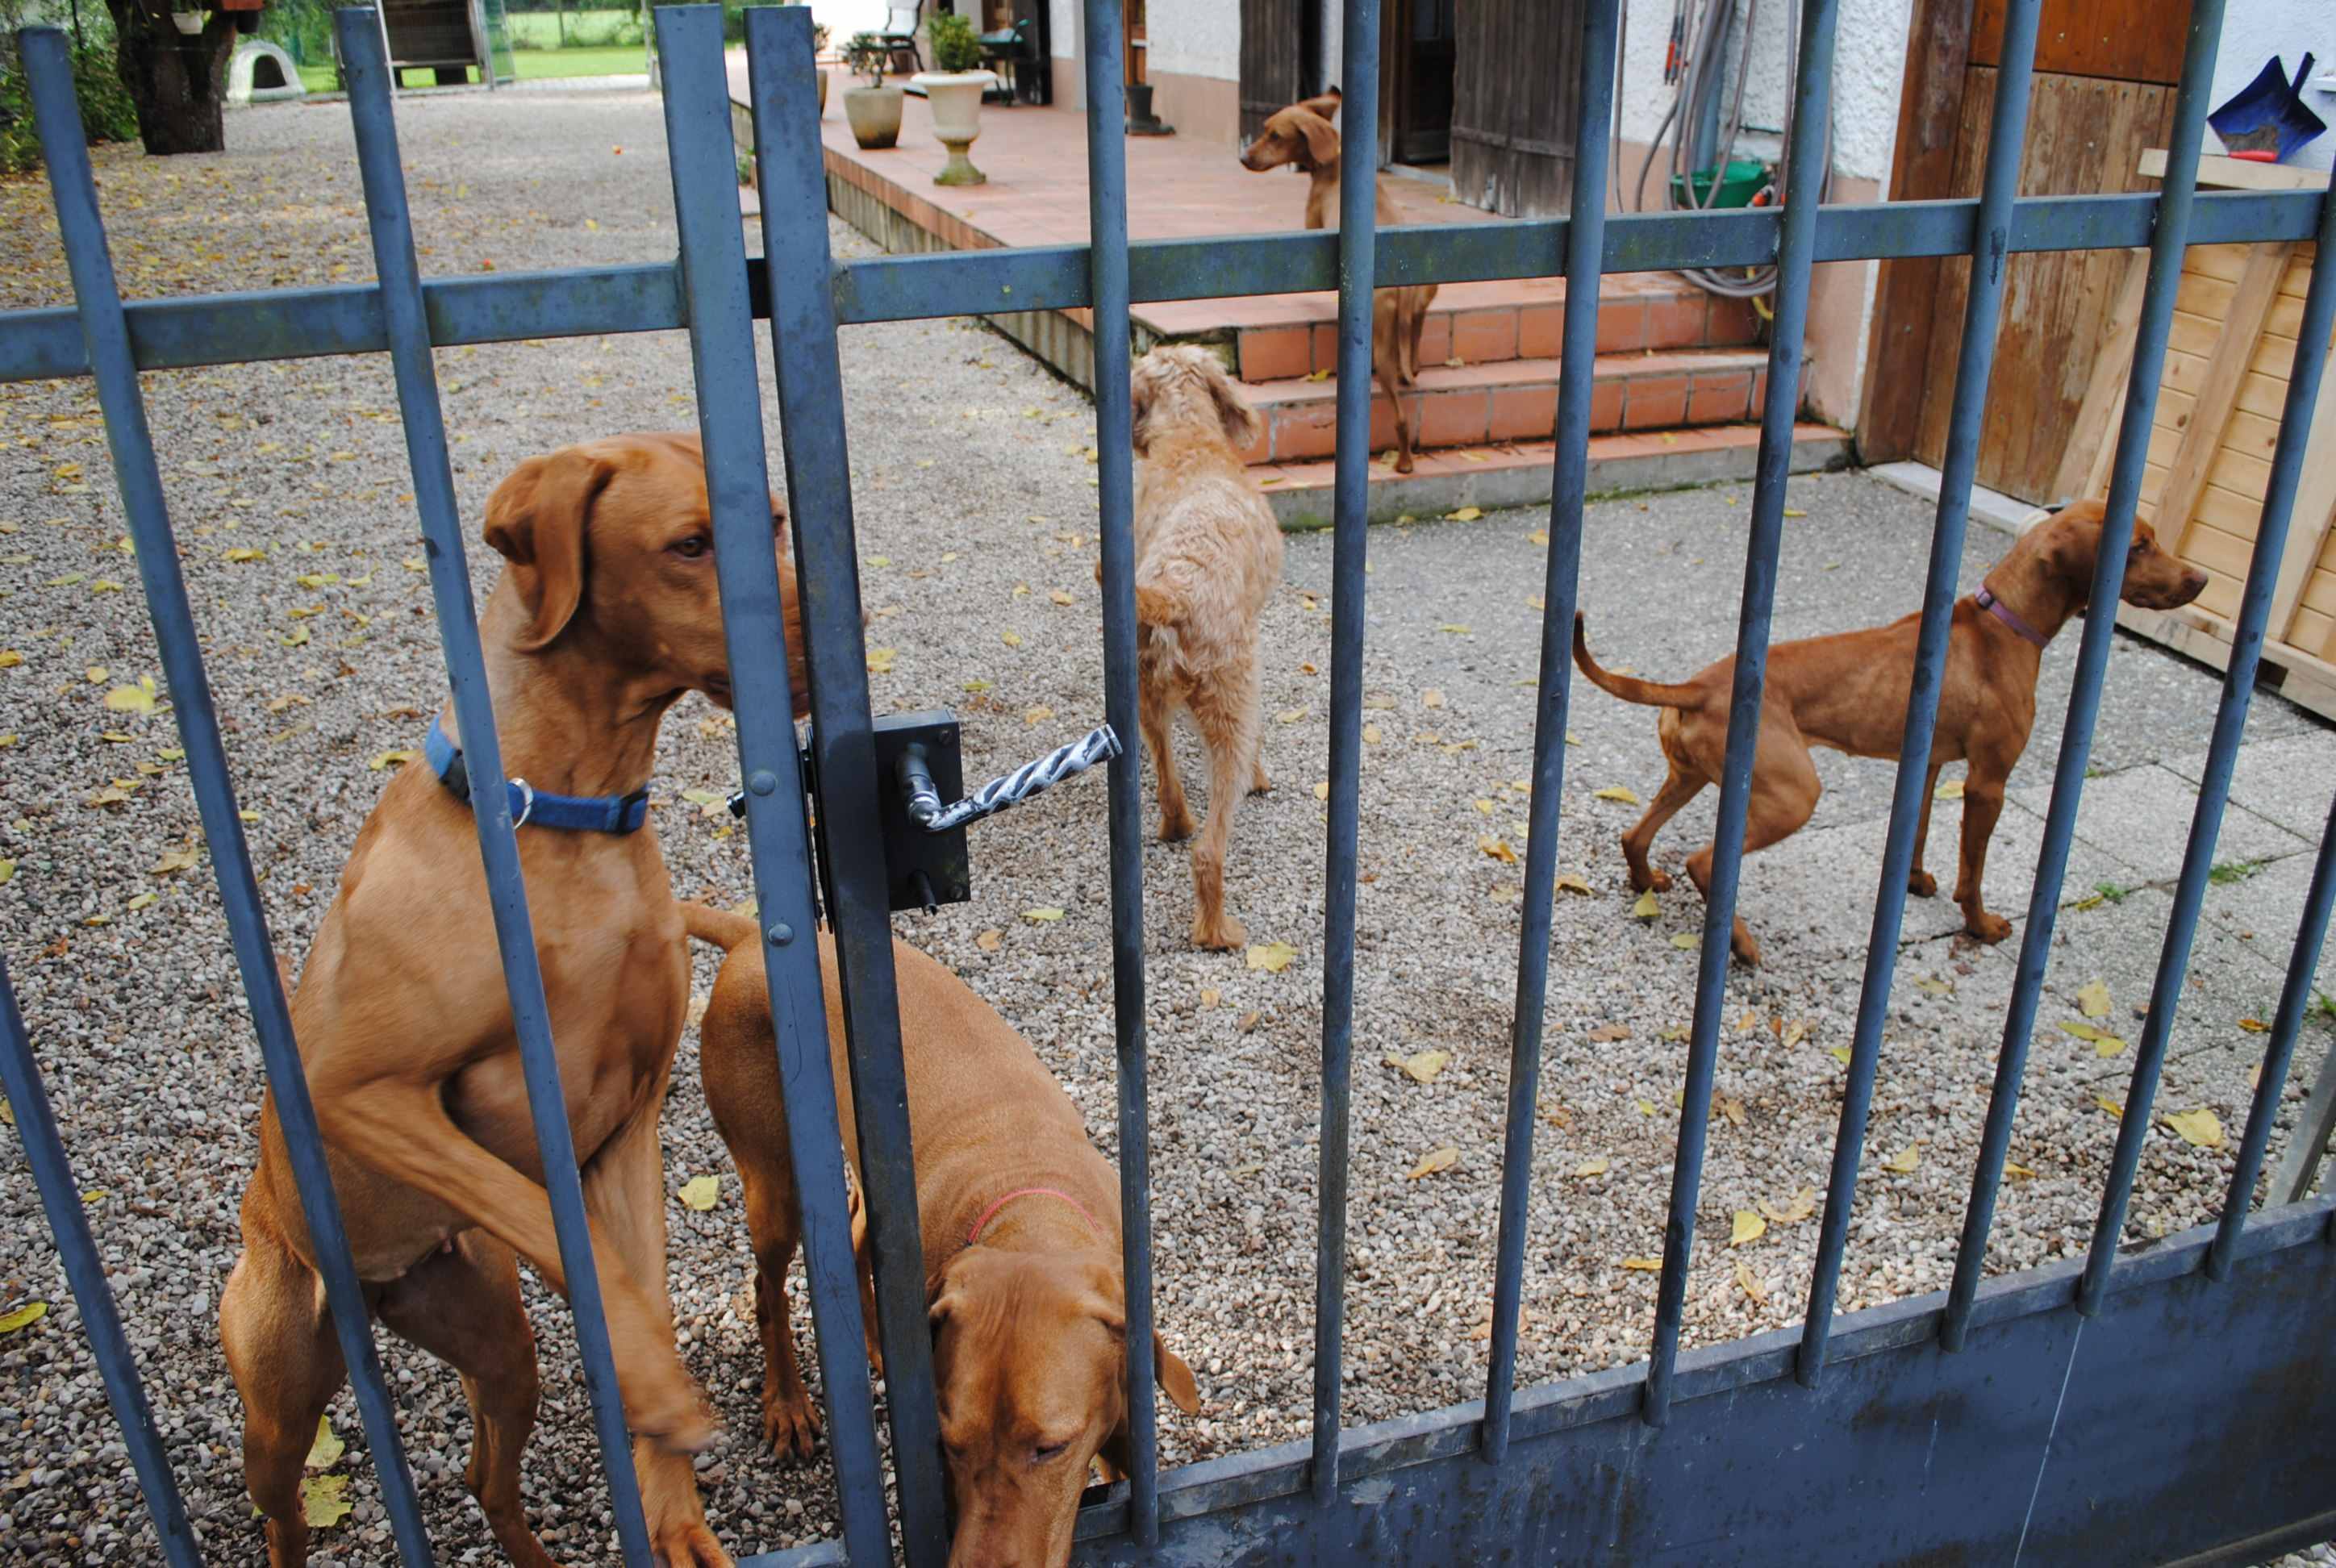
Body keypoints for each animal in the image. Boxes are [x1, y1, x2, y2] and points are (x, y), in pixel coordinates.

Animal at [219, 432, 803, 1568]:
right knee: (281, 1512)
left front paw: (675, 1510)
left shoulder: (625, 1132)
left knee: (486, 1474)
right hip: (279, 1398)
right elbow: (545, 1222)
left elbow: (636, 1283)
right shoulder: (354, 1090)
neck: (565, 823)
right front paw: (658, 1385)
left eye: (776, 521)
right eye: (690, 544)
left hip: (492, 1338)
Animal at [682, 907, 1205, 1568]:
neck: (1027, 1203)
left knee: (855, 1231)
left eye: (1050, 1448)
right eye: (951, 1444)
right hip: (773, 1183)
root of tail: (752, 936)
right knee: (767, 1288)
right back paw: (788, 1404)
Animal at [1242, 84, 1438, 472]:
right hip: (1424, 299)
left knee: (1400, 416)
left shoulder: (1312, 224)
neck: (1335, 161)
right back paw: (1414, 368)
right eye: (1266, 128)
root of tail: (1402, 290)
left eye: (1275, 135)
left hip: (1379, 350)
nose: (1244, 158)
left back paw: (1404, 462)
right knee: (1415, 345)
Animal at [1570, 502, 2205, 967]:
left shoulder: (1928, 764)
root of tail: (1696, 687)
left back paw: (1646, 881)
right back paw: (1740, 942)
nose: (2201, 578)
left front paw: (1917, 881)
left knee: (1634, 835)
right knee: (1704, 862)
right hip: (1792, 795)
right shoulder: (1987, 782)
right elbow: (1973, 872)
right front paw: (1980, 925)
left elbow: (1919, 831)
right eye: (2139, 546)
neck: (2003, 624)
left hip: (1691, 776)